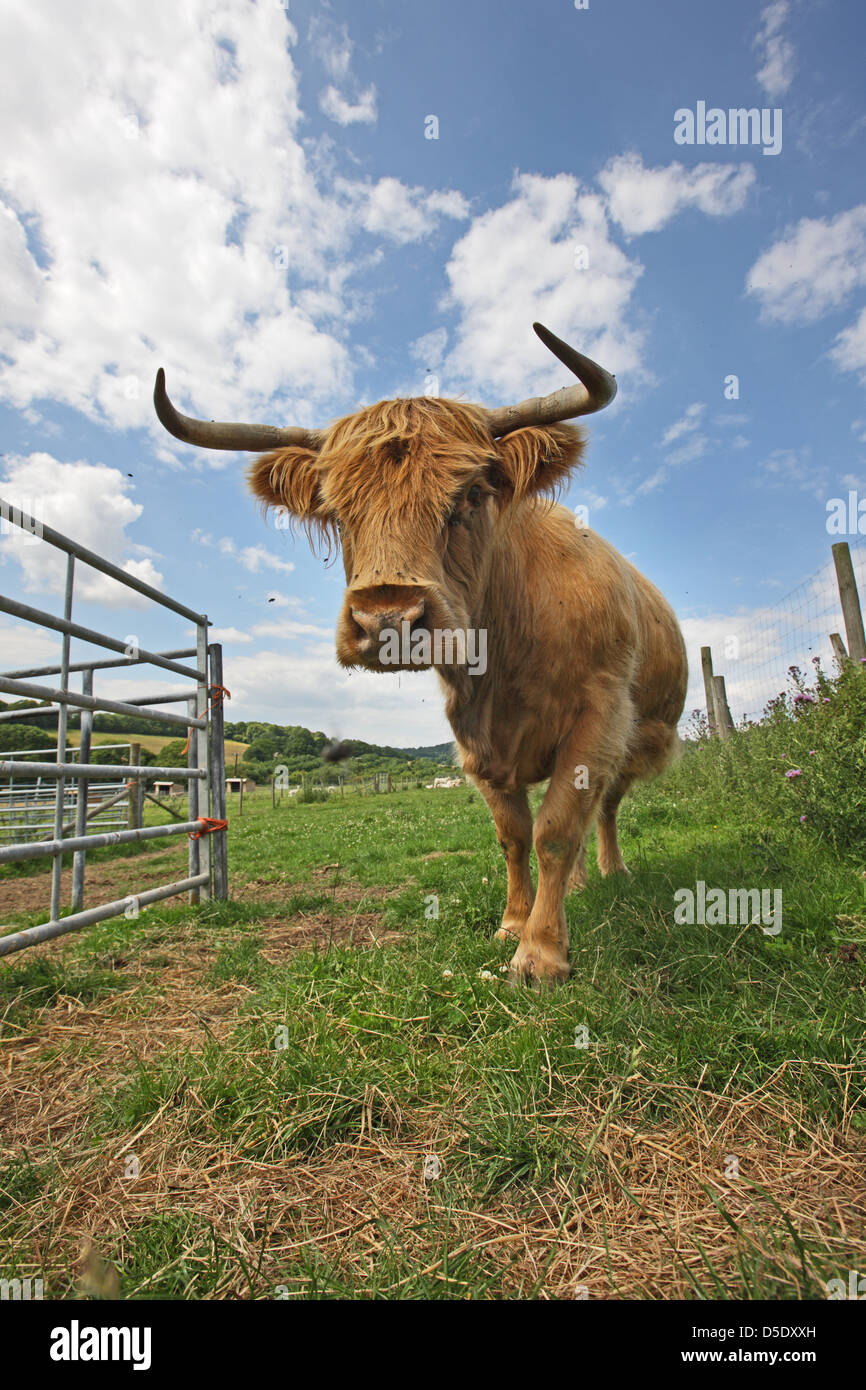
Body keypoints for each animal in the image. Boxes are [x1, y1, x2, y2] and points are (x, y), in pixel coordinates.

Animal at [154, 322, 683, 978]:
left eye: (473, 493)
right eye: (337, 510)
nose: (387, 617)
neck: (502, 662)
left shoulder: (598, 718)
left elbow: (557, 829)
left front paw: (541, 954)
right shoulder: (476, 745)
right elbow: (515, 835)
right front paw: (514, 924)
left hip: (641, 737)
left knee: (605, 810)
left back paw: (613, 871)